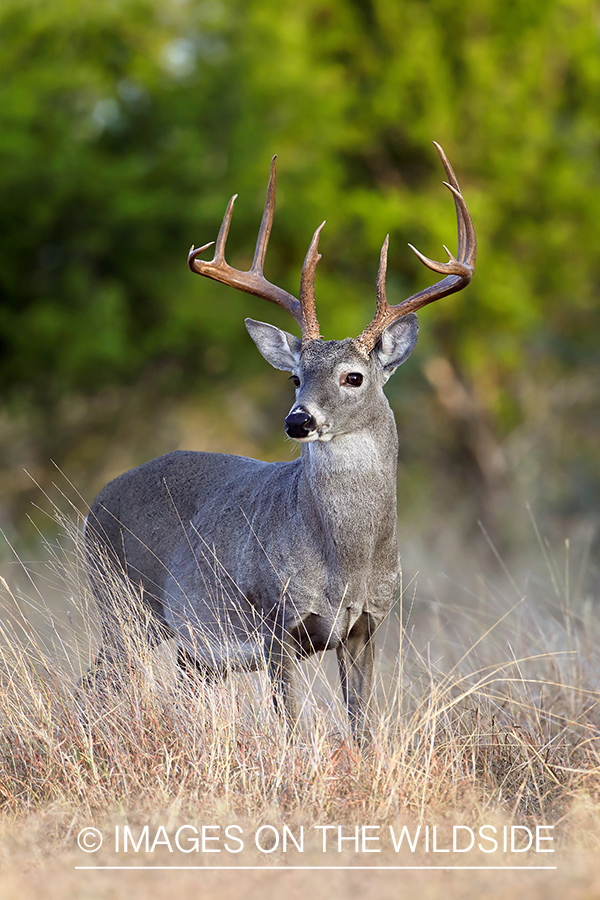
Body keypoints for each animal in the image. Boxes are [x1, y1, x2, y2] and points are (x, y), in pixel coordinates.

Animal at [84, 142, 476, 740]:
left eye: (353, 376)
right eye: (295, 376)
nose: (298, 421)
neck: (347, 561)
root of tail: (94, 505)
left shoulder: (367, 627)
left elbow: (362, 727)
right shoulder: (276, 625)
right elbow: (289, 726)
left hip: (188, 647)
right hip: (125, 606)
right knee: (96, 685)